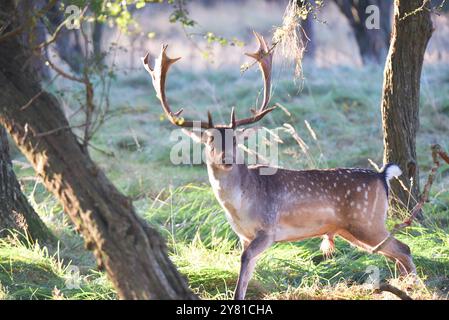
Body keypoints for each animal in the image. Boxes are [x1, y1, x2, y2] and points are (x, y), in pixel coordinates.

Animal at [142, 31, 414, 300]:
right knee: (396, 254)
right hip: (351, 229)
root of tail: (382, 175)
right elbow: (245, 271)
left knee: (405, 249)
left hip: (367, 221)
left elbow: (244, 262)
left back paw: (413, 287)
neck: (241, 205)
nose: (226, 159)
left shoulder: (269, 230)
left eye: (235, 139)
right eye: (210, 139)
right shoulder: (243, 236)